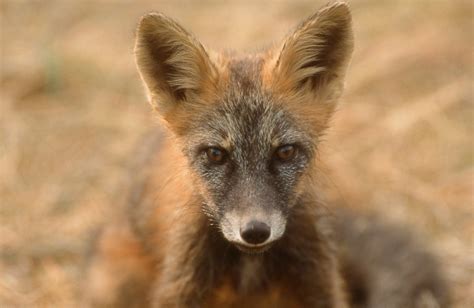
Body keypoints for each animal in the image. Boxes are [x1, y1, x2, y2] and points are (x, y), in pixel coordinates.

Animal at [83, 2, 450, 308]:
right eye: (216, 154)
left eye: (285, 152)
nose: (255, 231)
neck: (250, 267)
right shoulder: (181, 284)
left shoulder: (318, 280)